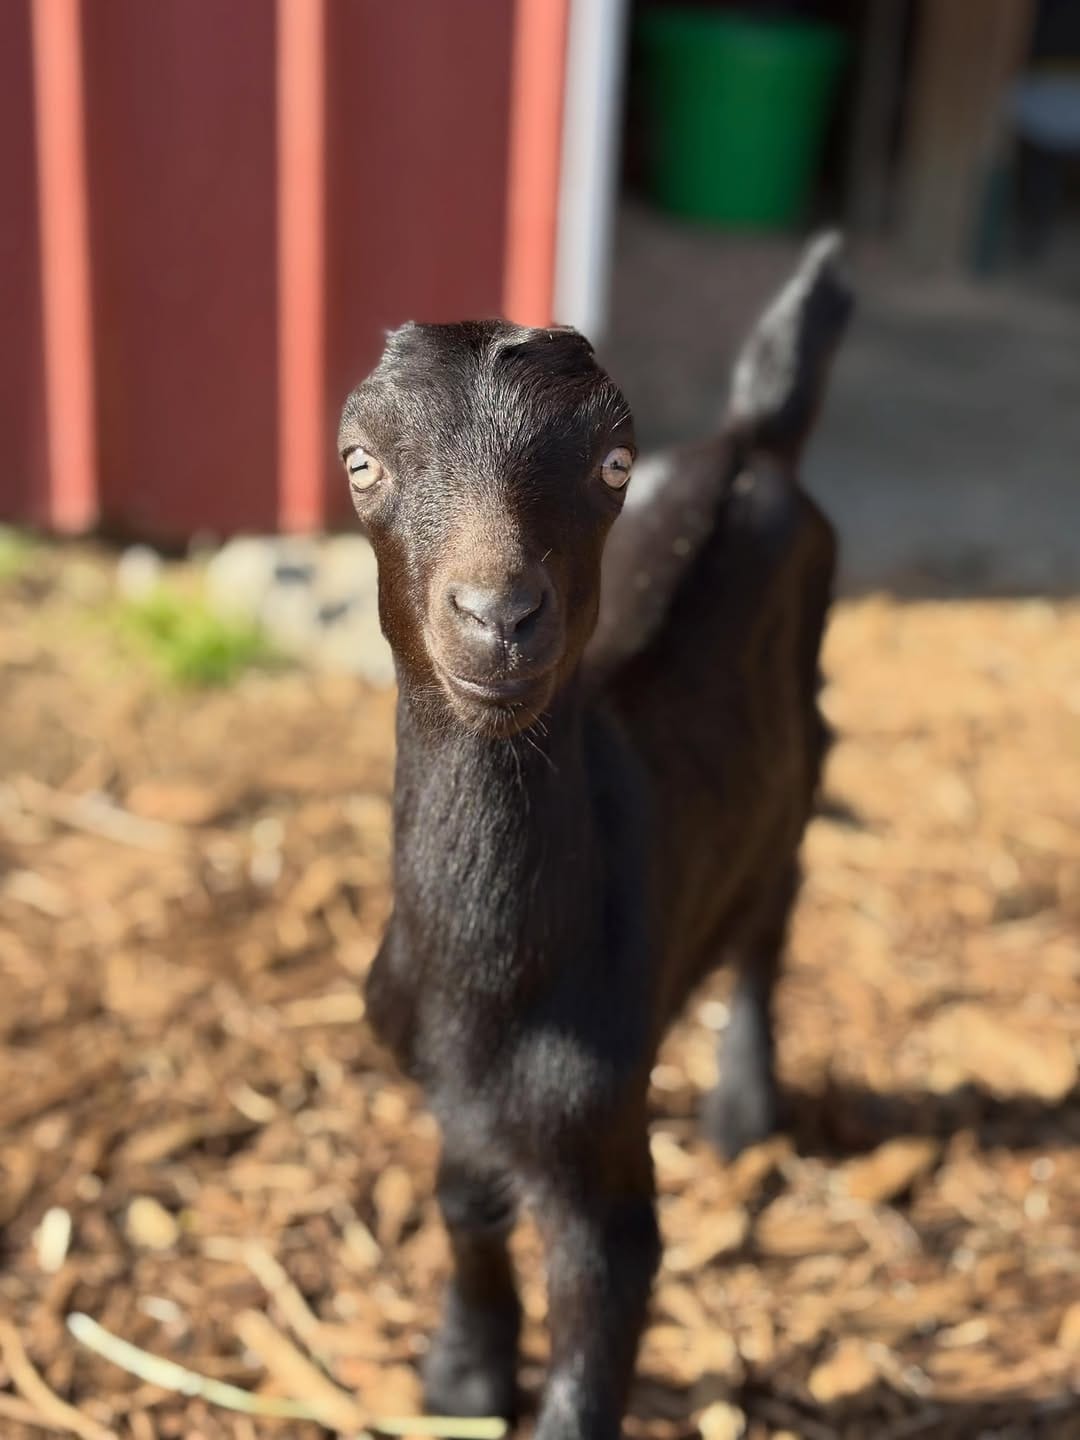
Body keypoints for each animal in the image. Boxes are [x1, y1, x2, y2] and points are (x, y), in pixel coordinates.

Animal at [337, 234, 852, 1440]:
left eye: (614, 463)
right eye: (361, 462)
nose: (499, 617)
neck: (488, 992)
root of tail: (754, 439)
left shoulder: (601, 1153)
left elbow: (602, 1311)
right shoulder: (456, 1102)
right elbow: (464, 1207)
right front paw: (463, 1378)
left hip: (802, 755)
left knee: (771, 918)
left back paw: (744, 1108)